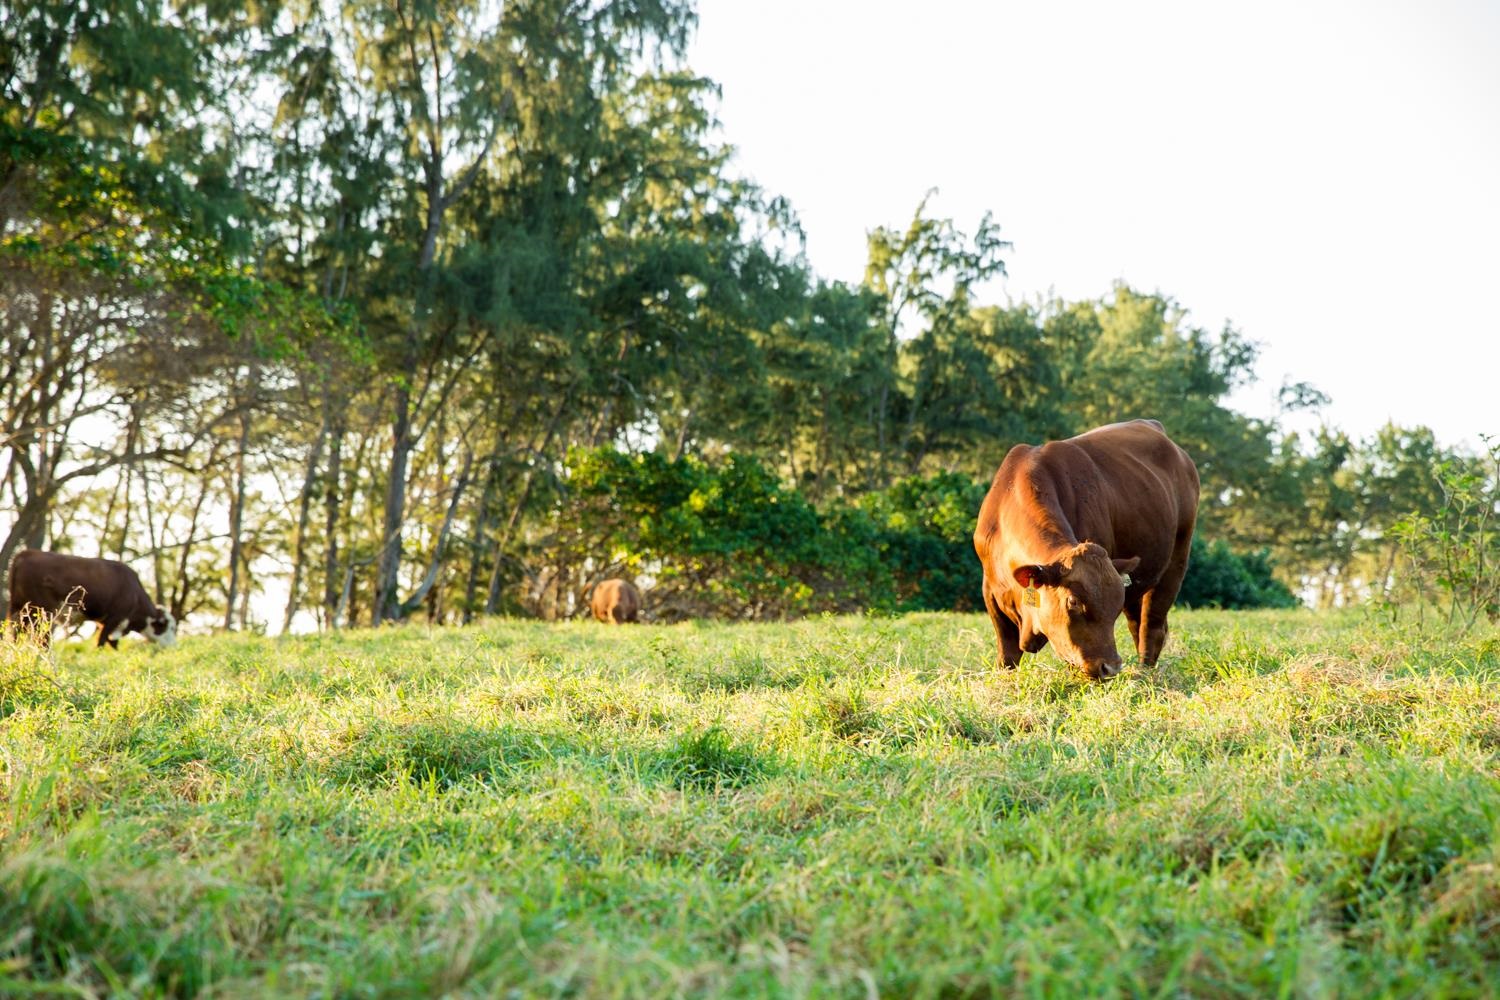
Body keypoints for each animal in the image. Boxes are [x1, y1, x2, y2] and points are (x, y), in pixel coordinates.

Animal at [6, 550, 177, 649]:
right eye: (171, 628)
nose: (174, 647)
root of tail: (26, 553)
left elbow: (112, 644)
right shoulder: (115, 617)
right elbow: (102, 641)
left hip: (19, 608)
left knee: (16, 632)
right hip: (43, 611)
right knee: (42, 638)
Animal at [973, 419, 1198, 680]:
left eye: (1114, 604)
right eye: (1073, 601)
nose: (1110, 667)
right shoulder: (991, 591)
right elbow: (1007, 654)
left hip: (1175, 562)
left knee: (1151, 626)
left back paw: (1144, 673)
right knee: (1136, 624)